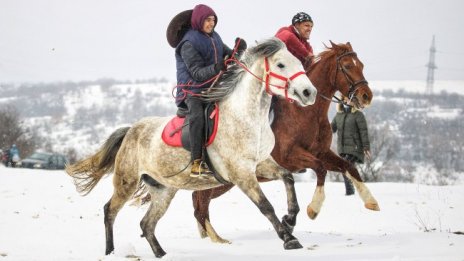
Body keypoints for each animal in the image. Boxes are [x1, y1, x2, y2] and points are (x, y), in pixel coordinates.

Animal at [190, 40, 378, 242]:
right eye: (347, 66)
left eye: (361, 65)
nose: (366, 96)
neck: (307, 113)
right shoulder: (291, 157)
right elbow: (320, 168)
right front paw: (311, 209)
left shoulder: (322, 152)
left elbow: (348, 167)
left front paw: (371, 201)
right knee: (200, 205)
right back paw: (214, 237)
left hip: (223, 182)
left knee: (198, 202)